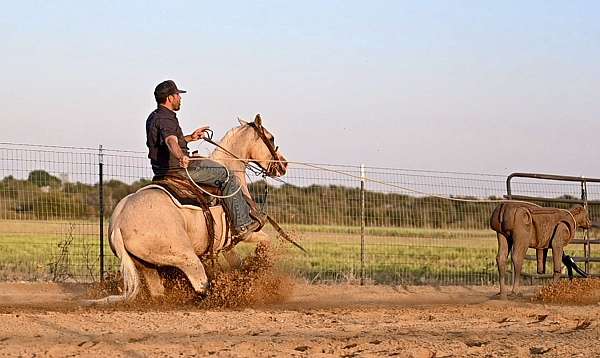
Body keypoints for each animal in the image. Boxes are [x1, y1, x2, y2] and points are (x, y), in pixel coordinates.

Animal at [90, 114, 288, 302]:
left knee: (158, 291)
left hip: (146, 265)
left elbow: (237, 263)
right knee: (201, 286)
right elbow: (265, 241)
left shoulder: (225, 246)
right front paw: (260, 264)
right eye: (271, 138)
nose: (283, 164)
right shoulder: (246, 234)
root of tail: (118, 224)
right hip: (186, 258)